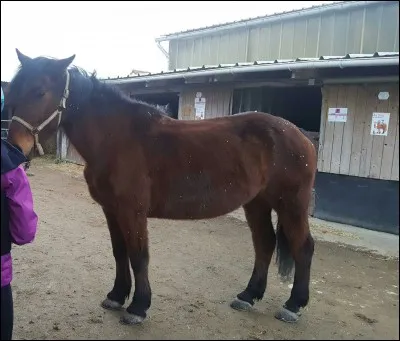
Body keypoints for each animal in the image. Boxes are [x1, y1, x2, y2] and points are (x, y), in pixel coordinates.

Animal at [7, 49, 316, 326]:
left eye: (40, 92)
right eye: (14, 92)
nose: (15, 147)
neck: (117, 138)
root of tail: (300, 136)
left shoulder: (132, 212)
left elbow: (138, 256)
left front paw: (138, 307)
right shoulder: (111, 210)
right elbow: (119, 252)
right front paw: (117, 296)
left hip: (291, 203)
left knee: (303, 247)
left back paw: (293, 305)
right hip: (257, 203)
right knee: (264, 243)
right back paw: (248, 296)